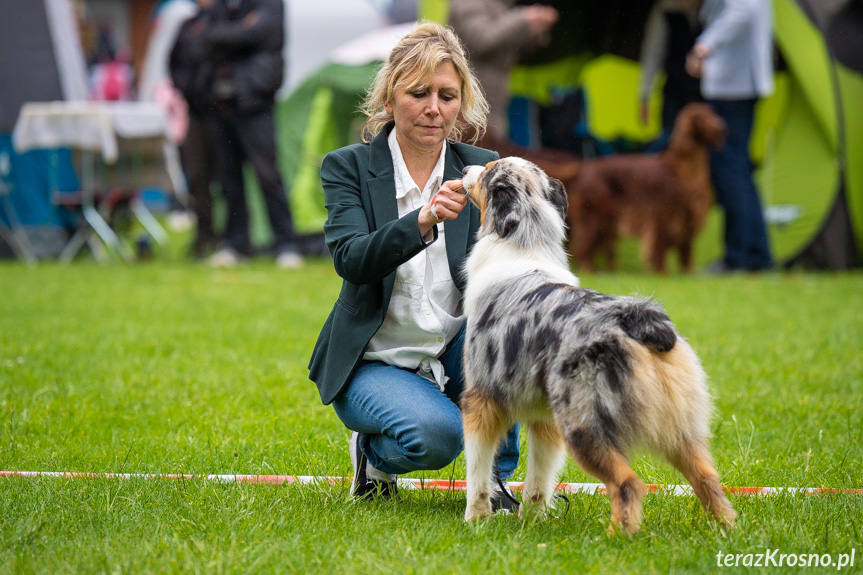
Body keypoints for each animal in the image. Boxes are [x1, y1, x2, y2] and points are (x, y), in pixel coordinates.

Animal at [568, 103, 728, 274]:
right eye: (700, 117)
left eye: (712, 113)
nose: (721, 127)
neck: (685, 170)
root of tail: (584, 170)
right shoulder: (662, 216)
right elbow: (659, 249)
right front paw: (662, 273)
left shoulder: (689, 218)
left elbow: (686, 252)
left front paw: (689, 273)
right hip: (595, 218)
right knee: (582, 248)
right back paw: (589, 271)